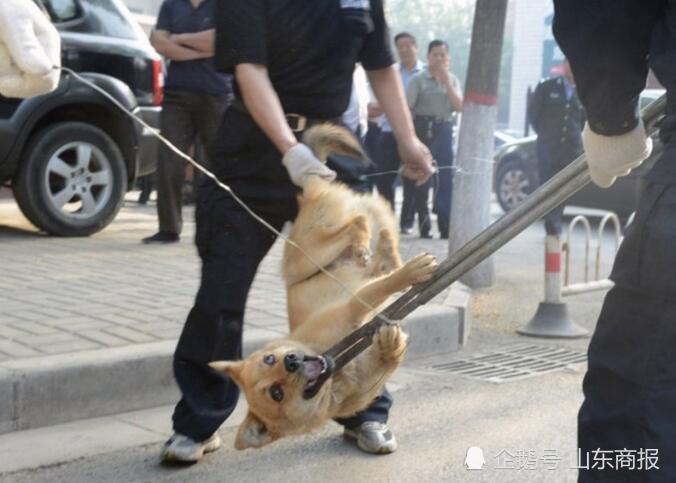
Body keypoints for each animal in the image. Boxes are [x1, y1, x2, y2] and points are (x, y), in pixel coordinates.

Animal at [209, 125, 438, 450]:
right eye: (276, 393)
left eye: (270, 358)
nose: (291, 361)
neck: (334, 368)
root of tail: (309, 192)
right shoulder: (364, 369)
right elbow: (387, 358)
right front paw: (389, 344)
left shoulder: (353, 306)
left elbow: (381, 288)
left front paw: (409, 276)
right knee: (376, 242)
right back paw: (387, 251)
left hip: (308, 256)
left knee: (359, 226)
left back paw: (384, 254)